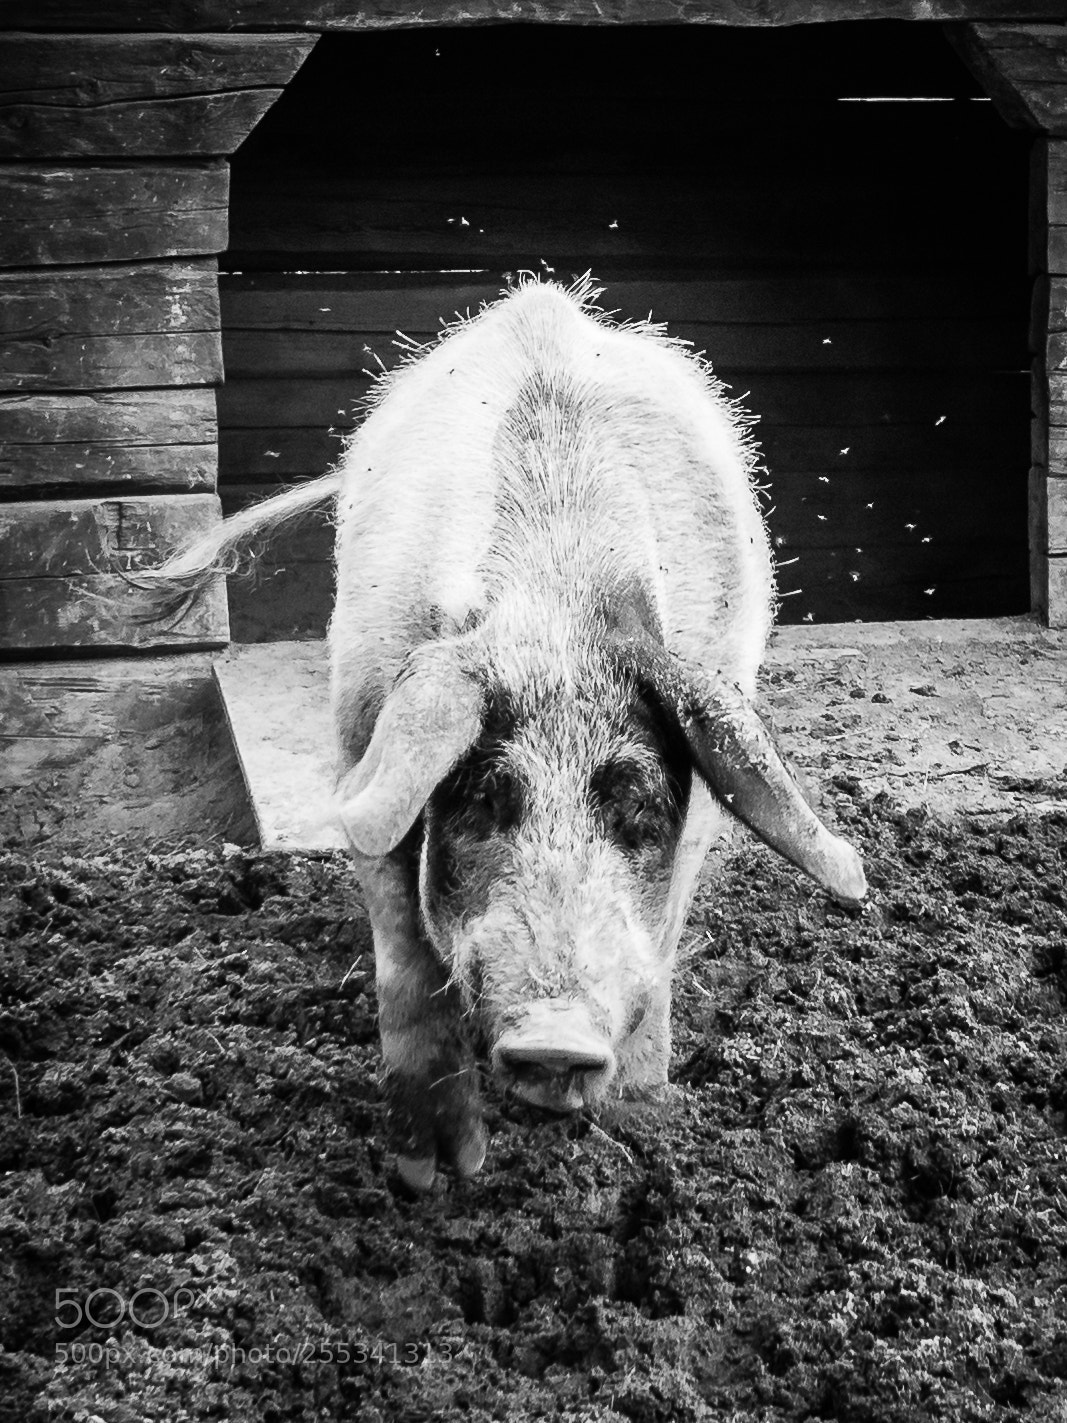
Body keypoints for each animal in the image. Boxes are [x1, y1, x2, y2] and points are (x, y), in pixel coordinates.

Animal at [159, 276, 866, 1191]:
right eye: (485, 800)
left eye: (638, 809)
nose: (557, 1036)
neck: (556, 601)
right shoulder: (365, 732)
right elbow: (403, 934)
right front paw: (434, 1173)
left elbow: (663, 926)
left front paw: (637, 1113)